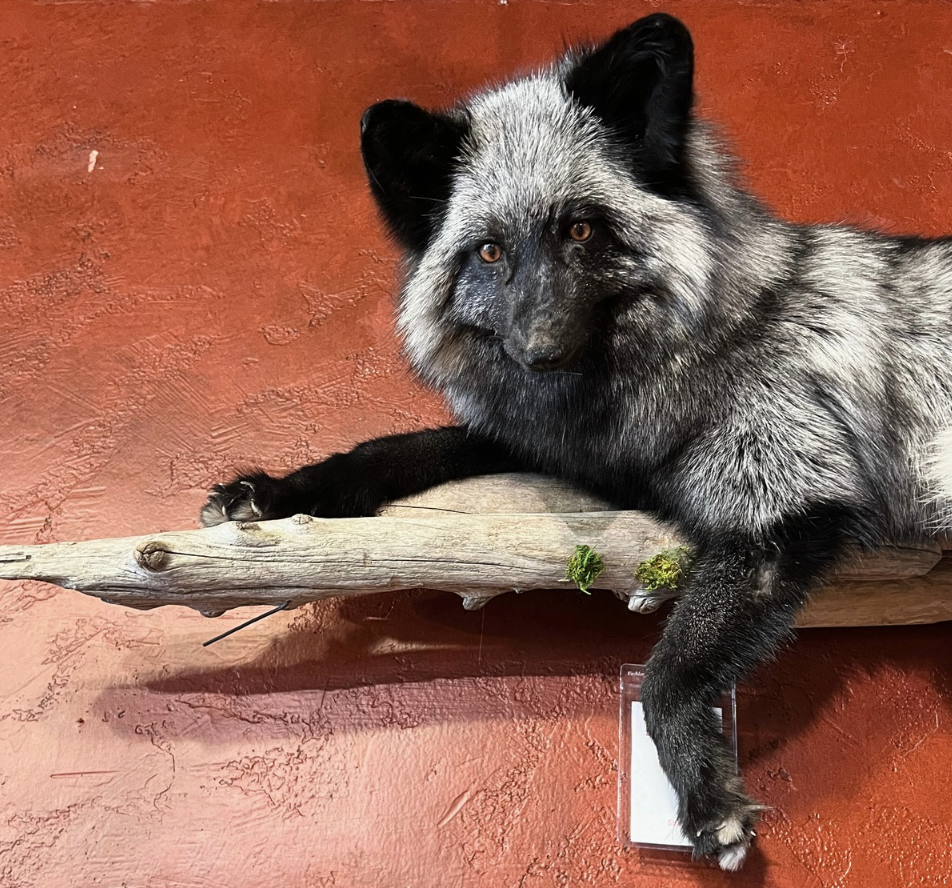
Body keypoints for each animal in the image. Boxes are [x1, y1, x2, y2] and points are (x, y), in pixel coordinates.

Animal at [200, 13, 952, 869]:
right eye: (489, 250)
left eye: (582, 229)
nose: (542, 351)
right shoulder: (553, 445)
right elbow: (393, 448)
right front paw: (275, 492)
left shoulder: (782, 510)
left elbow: (666, 677)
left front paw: (704, 797)